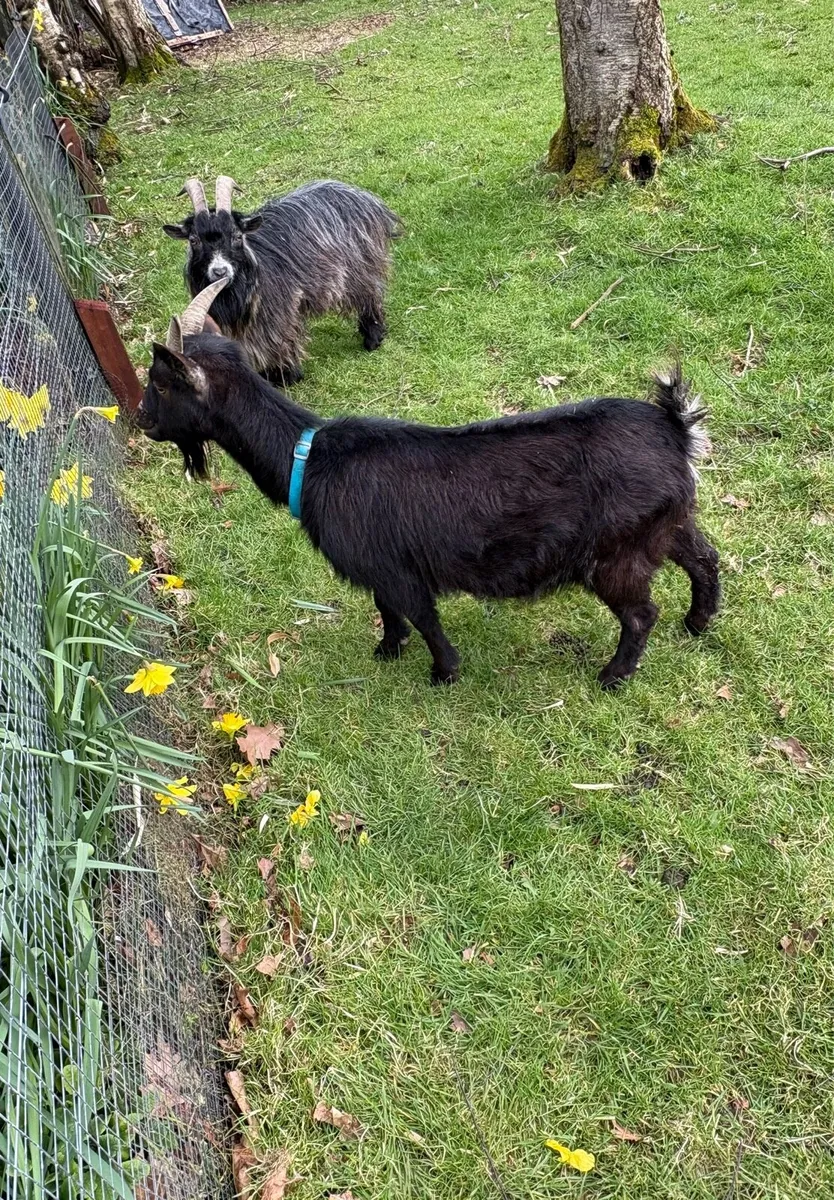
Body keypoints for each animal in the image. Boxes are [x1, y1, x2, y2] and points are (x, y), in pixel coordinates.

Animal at [137, 282, 721, 689]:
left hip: (617, 552)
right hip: (667, 523)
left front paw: (443, 673)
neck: (311, 458)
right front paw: (387, 650)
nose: (140, 420)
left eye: (161, 384)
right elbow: (387, 610)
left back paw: (614, 676)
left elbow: (421, 617)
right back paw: (698, 622)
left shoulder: (400, 570)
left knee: (641, 613)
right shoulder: (378, 565)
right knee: (705, 558)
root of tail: (675, 430)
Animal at [163, 176, 400, 386]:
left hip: (361, 269)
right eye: (194, 240)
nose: (220, 271)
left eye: (237, 236)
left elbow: (280, 340)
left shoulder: (279, 312)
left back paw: (373, 338)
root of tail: (368, 200)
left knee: (370, 294)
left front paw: (286, 375)